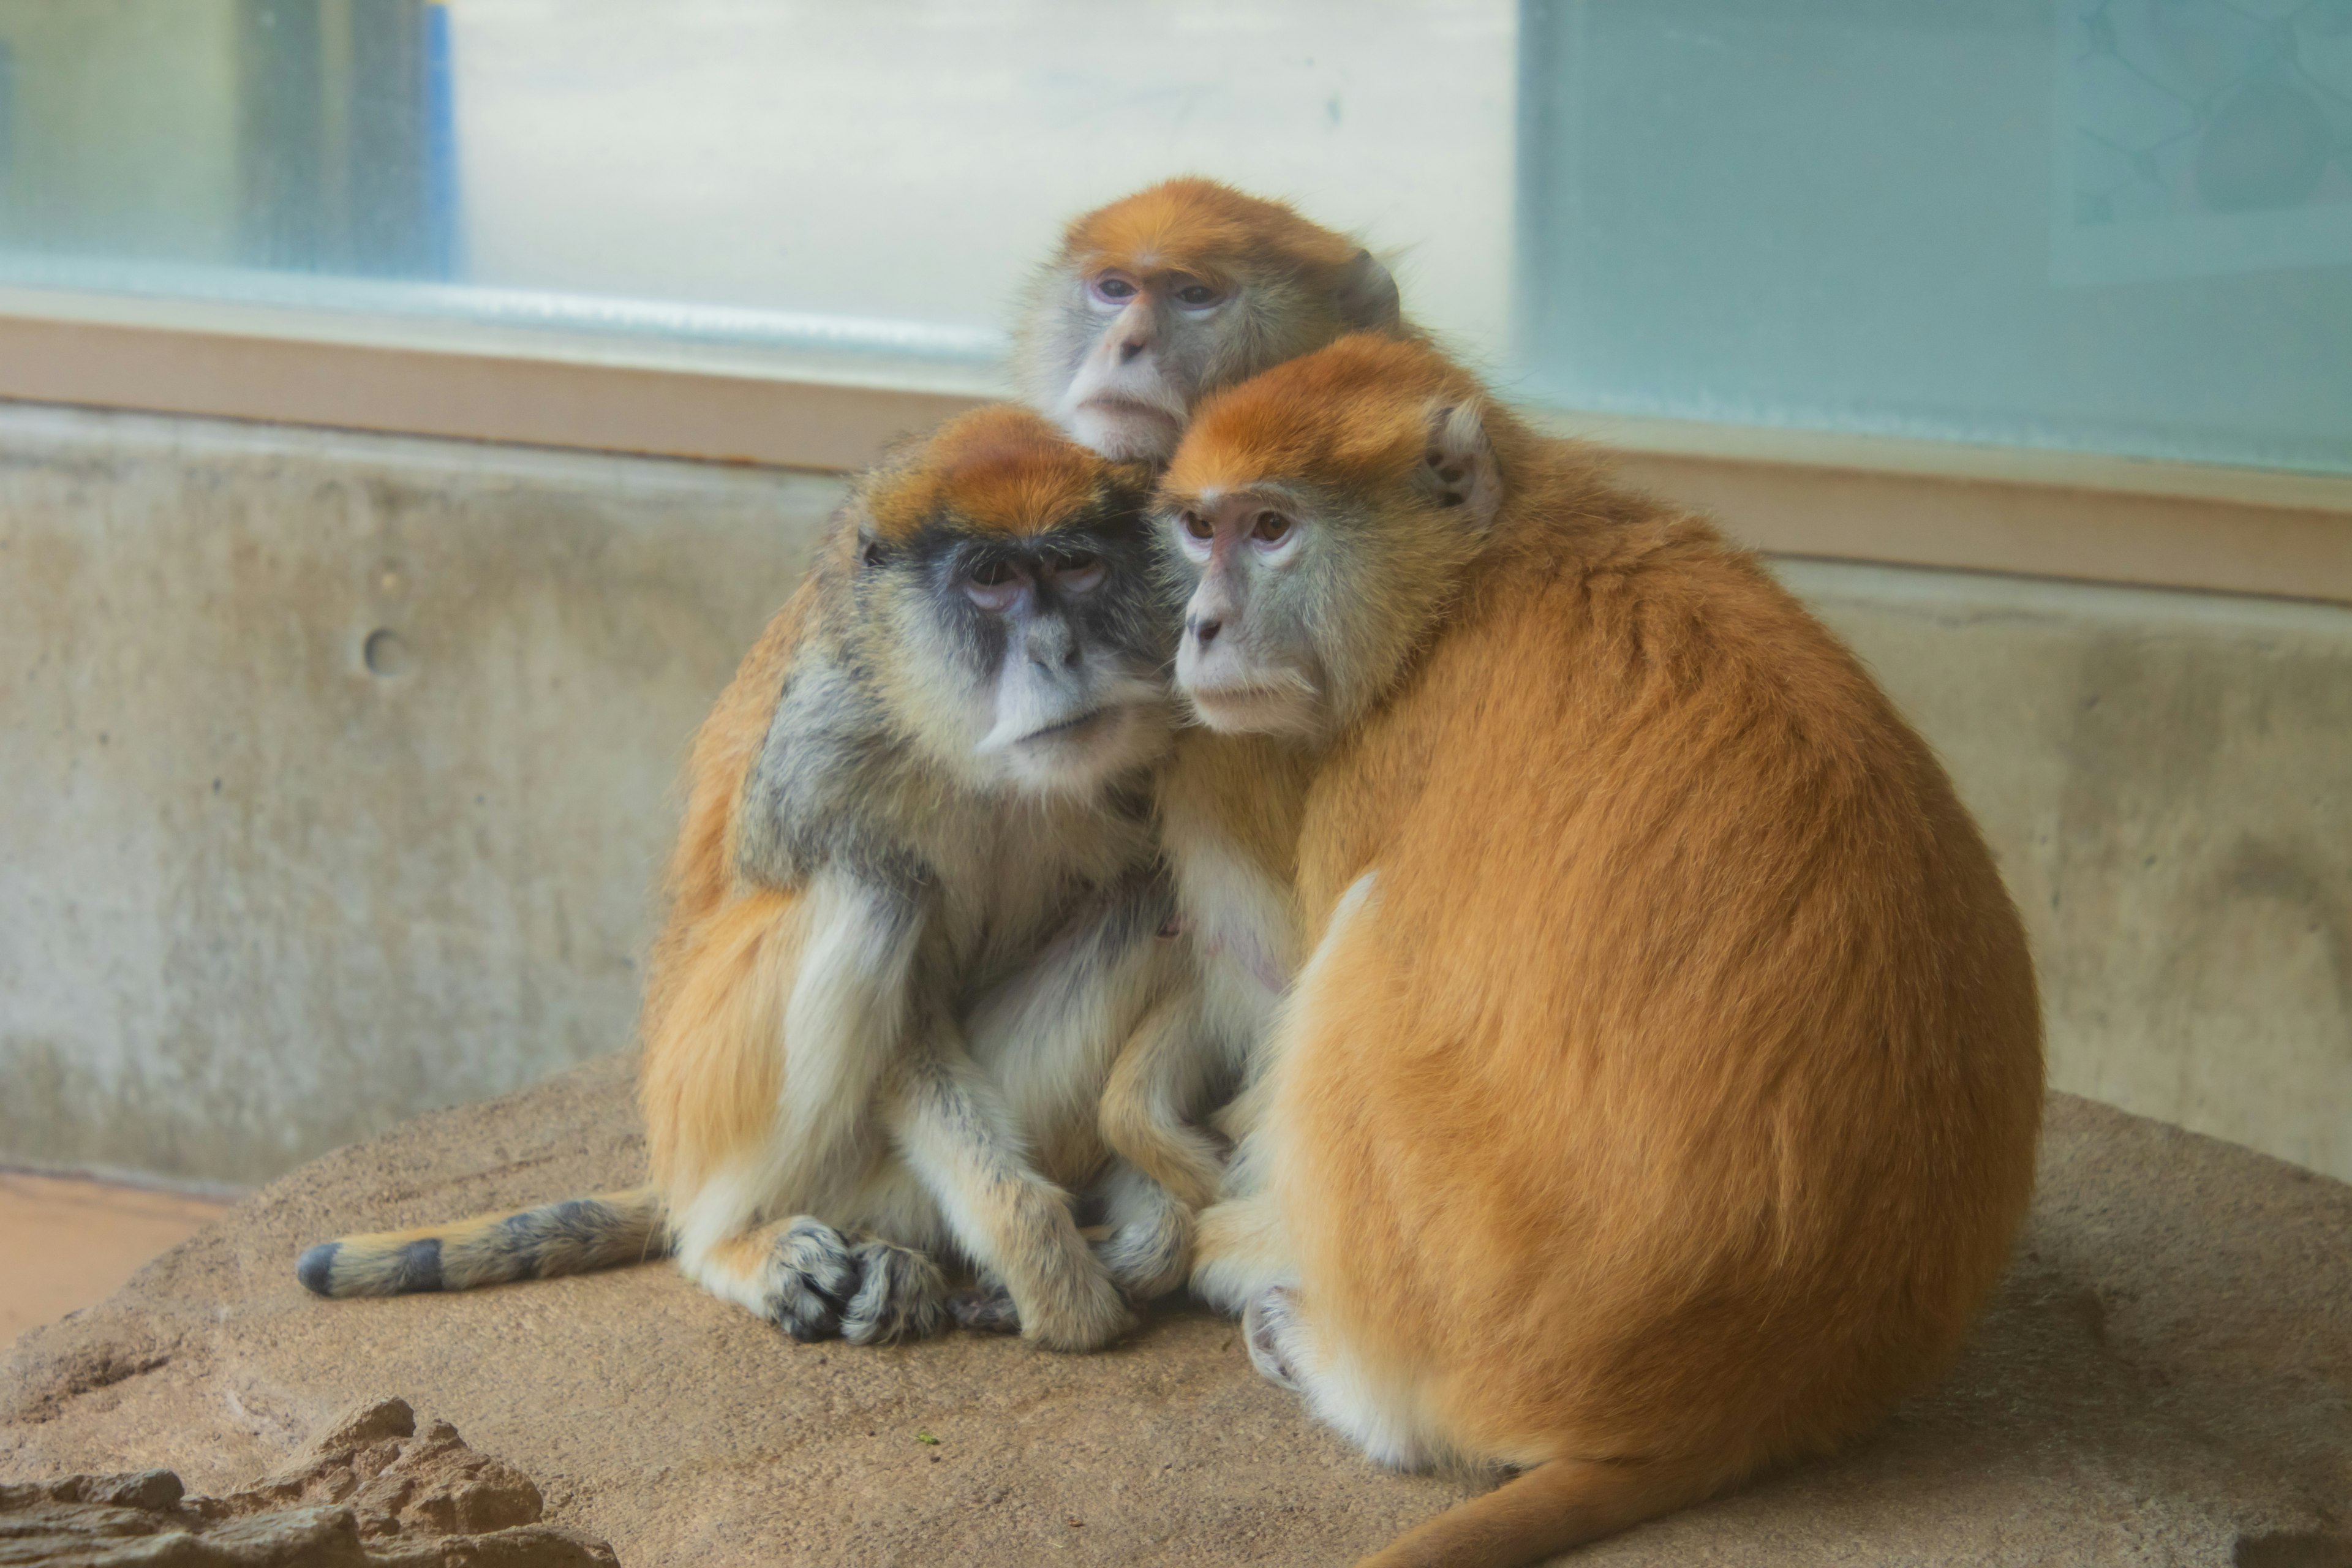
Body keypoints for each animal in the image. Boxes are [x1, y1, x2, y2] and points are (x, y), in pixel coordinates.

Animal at [1119, 329, 2041, 1561]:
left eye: (1270, 528)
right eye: (1198, 530)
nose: (1201, 629)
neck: (1473, 575)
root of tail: (1767, 1395)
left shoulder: (1385, 760)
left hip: (1491, 1289)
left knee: (1365, 949)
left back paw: (1345, 1373)